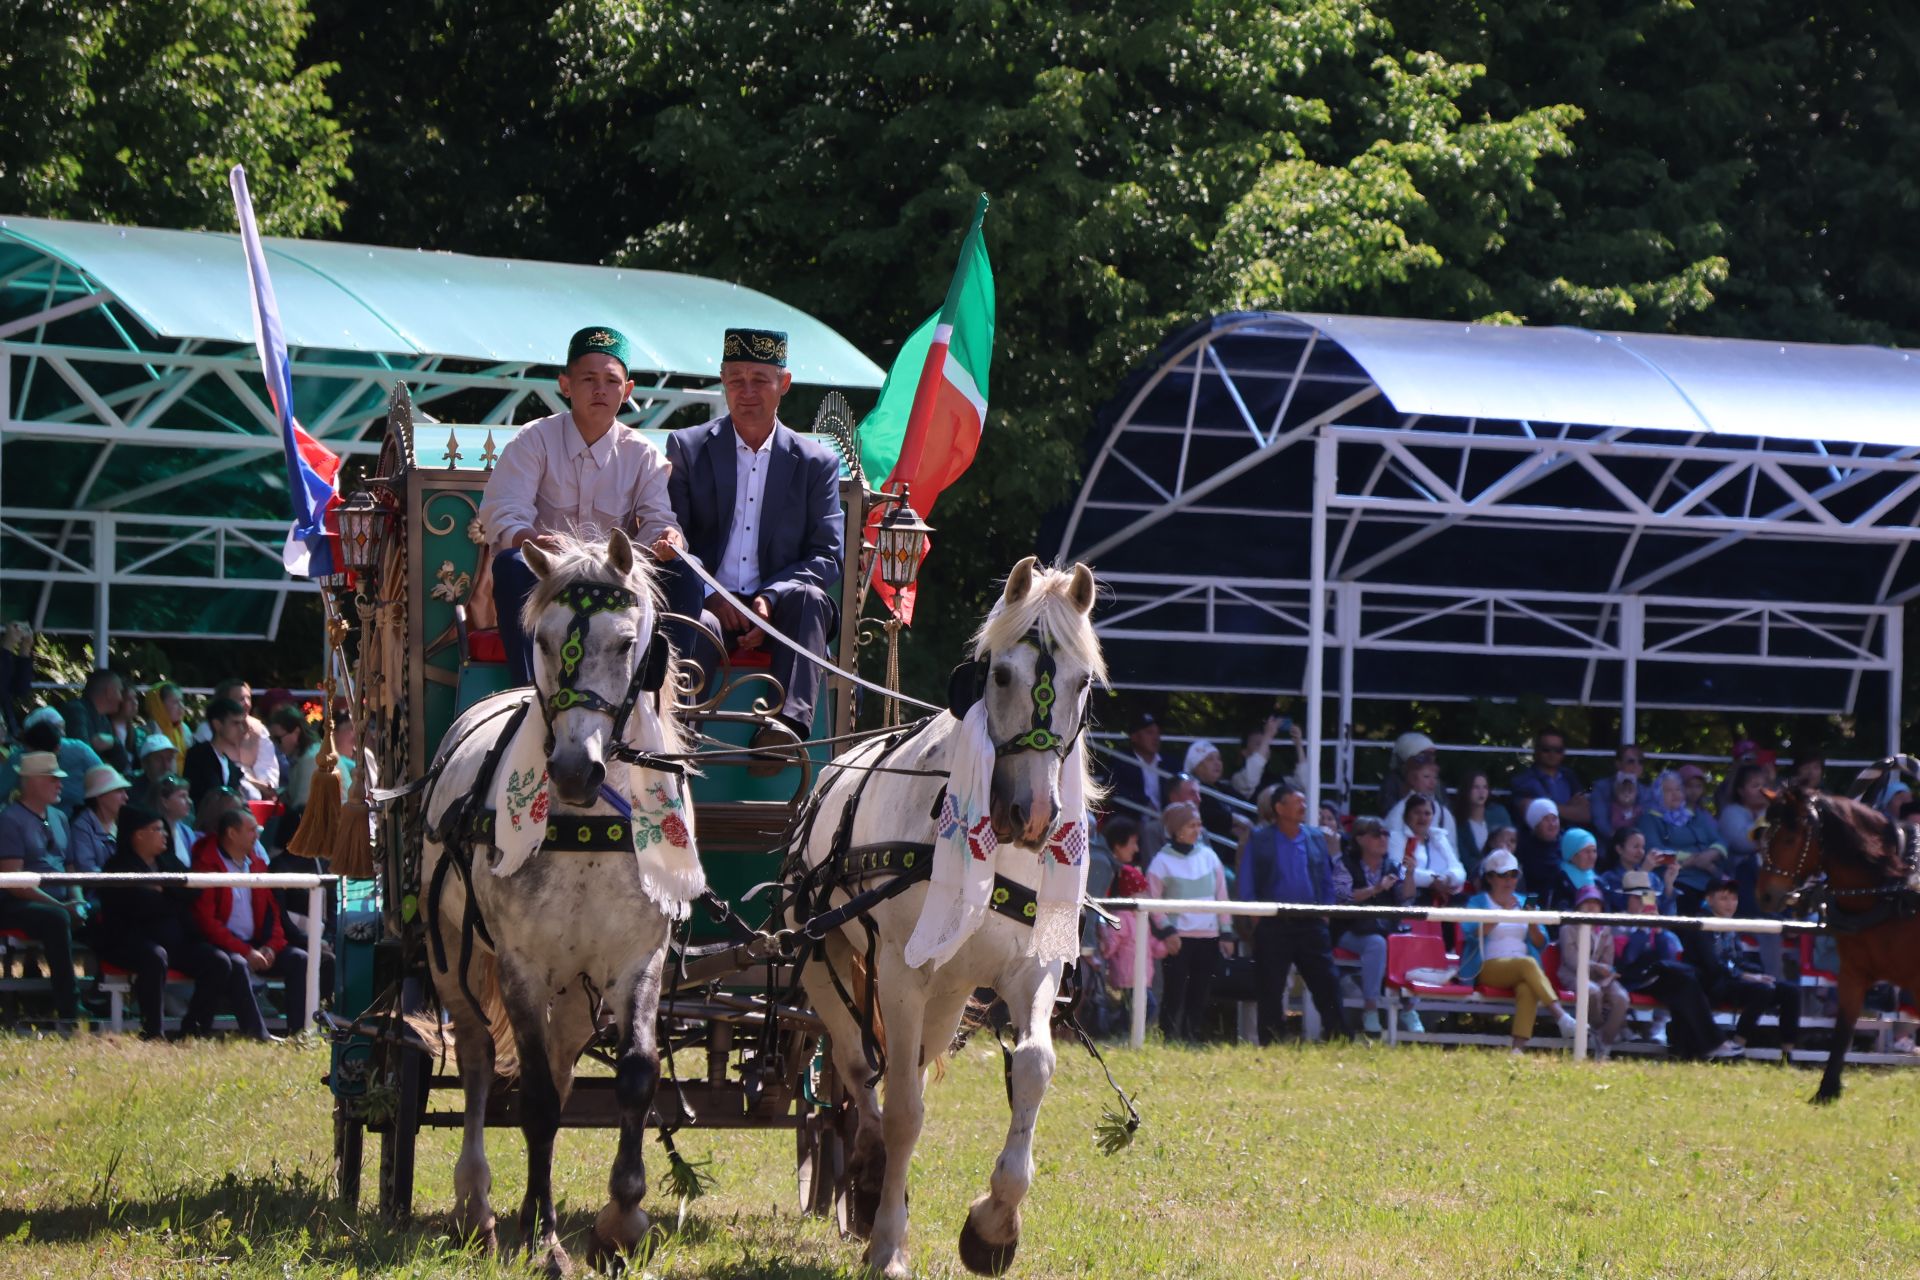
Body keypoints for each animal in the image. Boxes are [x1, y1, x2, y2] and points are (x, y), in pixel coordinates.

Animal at [420, 529, 691, 1274]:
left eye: (626, 643)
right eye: (541, 639)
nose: (573, 770)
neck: (590, 824)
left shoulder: (638, 960)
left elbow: (633, 1077)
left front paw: (621, 1221)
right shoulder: (521, 965)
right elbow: (536, 1100)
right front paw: (544, 1240)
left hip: (573, 988)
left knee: (566, 1064)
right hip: (450, 958)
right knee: (480, 1059)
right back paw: (478, 1205)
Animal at [791, 556, 1098, 1280]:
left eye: (1082, 681)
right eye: (1001, 674)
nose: (1033, 815)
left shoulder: (1032, 966)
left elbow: (1034, 1066)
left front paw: (993, 1225)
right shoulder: (902, 975)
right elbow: (905, 1108)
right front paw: (887, 1242)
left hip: (950, 994)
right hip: (823, 958)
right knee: (857, 1068)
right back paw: (869, 1177)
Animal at [1758, 786, 1920, 1105]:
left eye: (1790, 838)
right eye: (1767, 834)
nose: (1765, 895)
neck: (1891, 890)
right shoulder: (1853, 973)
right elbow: (1843, 1029)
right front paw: (1827, 1089)